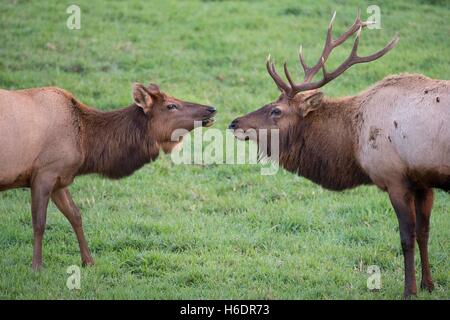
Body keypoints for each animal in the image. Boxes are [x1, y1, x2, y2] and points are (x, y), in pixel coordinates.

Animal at [0, 82, 218, 270]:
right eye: (171, 105)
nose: (211, 109)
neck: (85, 146)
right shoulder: (44, 173)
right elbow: (39, 222)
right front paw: (36, 266)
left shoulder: (59, 178)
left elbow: (75, 215)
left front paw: (88, 261)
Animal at [230, 11, 448, 298]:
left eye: (276, 110)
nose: (234, 122)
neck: (353, 144)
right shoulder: (423, 181)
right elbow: (424, 233)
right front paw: (428, 285)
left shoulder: (395, 178)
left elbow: (407, 238)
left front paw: (409, 290)